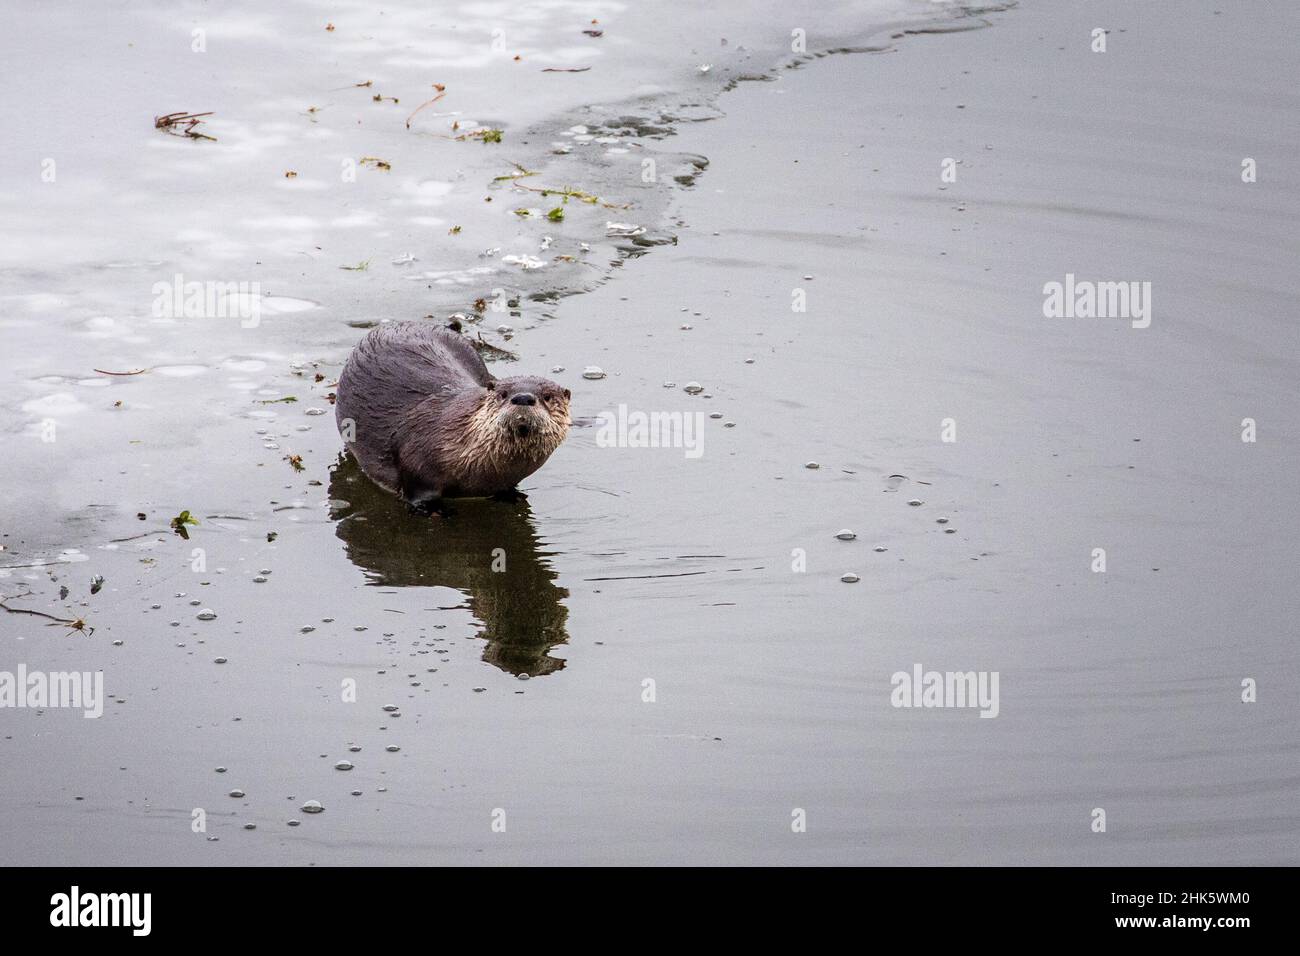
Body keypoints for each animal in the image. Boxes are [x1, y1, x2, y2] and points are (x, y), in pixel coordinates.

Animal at [335, 322, 570, 514]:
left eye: (547, 397)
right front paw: (432, 509)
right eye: (503, 394)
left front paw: (510, 495)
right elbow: (415, 488)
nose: (522, 397)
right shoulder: (417, 457)